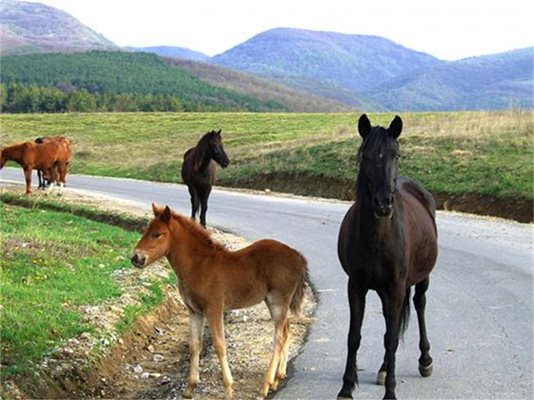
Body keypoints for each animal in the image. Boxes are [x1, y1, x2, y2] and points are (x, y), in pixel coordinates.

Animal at [131, 205, 310, 398]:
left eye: (157, 234)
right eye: (146, 231)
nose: (136, 258)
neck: (198, 265)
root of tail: (298, 256)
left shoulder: (214, 308)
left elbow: (219, 344)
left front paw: (228, 388)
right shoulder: (194, 311)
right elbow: (194, 345)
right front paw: (190, 387)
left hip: (278, 302)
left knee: (279, 338)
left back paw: (266, 384)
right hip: (274, 303)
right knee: (287, 332)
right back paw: (278, 377)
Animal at [340, 114, 440, 398]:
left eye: (396, 155)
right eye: (365, 156)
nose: (384, 203)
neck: (378, 237)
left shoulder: (396, 285)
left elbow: (392, 338)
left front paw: (391, 392)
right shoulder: (356, 286)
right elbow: (355, 336)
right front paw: (346, 387)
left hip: (420, 279)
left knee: (419, 304)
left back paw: (425, 360)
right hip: (385, 290)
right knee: (388, 320)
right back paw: (384, 369)